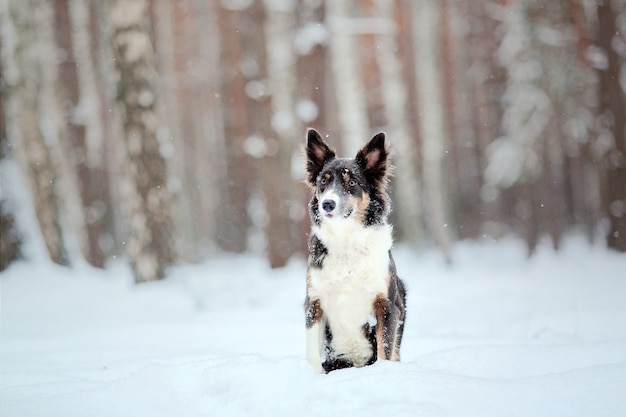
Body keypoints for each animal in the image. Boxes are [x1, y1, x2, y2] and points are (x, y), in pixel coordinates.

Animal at [302, 128, 404, 372]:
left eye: (352, 182)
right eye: (323, 181)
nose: (327, 204)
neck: (346, 238)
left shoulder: (387, 305)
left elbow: (385, 351)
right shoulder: (314, 303)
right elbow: (312, 356)